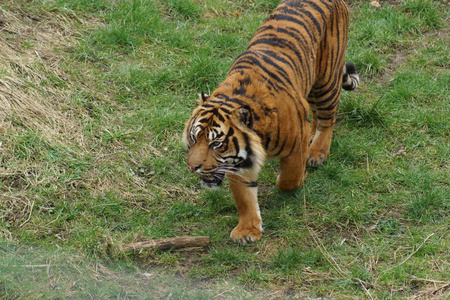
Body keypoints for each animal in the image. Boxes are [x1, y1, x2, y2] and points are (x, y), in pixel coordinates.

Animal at [181, 0, 360, 245]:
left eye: (216, 144)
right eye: (193, 138)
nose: (193, 167)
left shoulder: (293, 147)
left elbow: (288, 179)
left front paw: (299, 175)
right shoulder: (238, 162)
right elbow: (245, 197)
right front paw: (247, 230)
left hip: (326, 79)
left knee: (327, 118)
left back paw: (316, 153)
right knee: (314, 114)